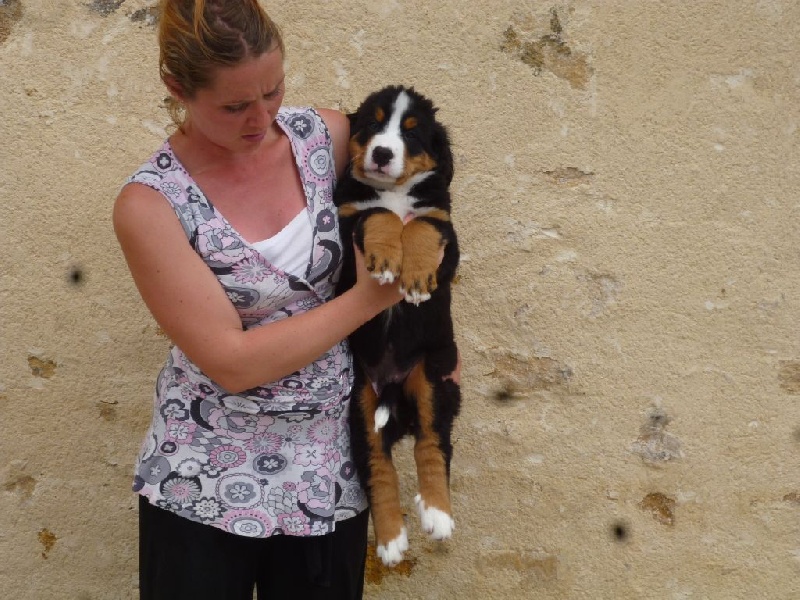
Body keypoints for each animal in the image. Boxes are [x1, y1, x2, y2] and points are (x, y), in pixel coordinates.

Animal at [334, 85, 461, 566]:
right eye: (372, 124)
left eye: (411, 133)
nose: (383, 153)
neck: (394, 191)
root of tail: (390, 383)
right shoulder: (348, 218)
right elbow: (380, 217)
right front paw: (389, 261)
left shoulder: (446, 230)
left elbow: (421, 225)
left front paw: (417, 280)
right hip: (359, 401)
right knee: (377, 468)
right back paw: (390, 542)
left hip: (434, 375)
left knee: (433, 442)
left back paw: (438, 514)